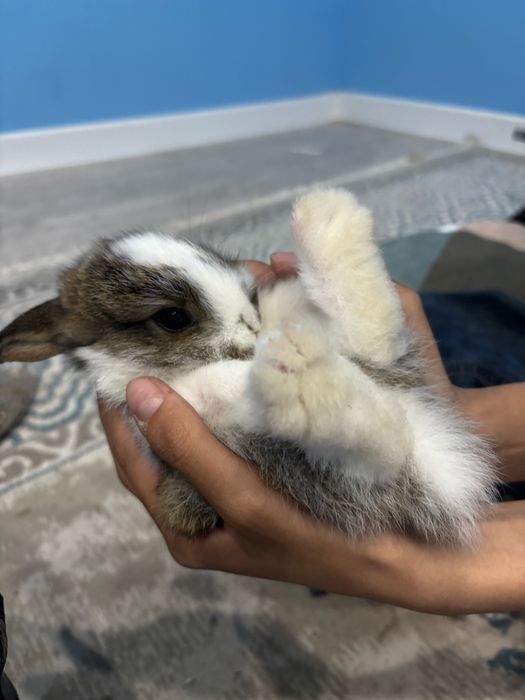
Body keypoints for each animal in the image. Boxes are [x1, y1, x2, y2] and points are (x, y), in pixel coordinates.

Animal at [0, 189, 497, 544]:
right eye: (173, 317)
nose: (253, 322)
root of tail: (442, 463)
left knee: (372, 340)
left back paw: (329, 221)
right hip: (315, 463)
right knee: (381, 441)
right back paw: (304, 379)